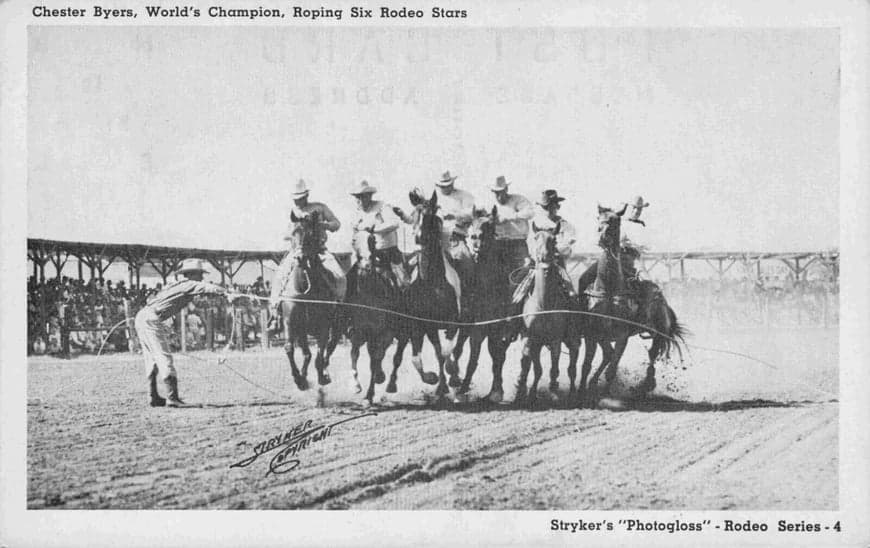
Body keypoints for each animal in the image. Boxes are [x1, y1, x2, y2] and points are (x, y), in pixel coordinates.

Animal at [284, 210, 342, 390]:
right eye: (293, 233)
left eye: (310, 233)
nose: (300, 258)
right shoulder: (292, 324)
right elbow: (292, 349)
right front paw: (299, 378)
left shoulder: (324, 326)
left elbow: (319, 355)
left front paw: (321, 377)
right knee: (310, 353)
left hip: (336, 327)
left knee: (329, 348)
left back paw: (324, 373)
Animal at [454, 206, 520, 402]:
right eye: (472, 222)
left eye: (490, 224)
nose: (475, 237)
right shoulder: (473, 327)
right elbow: (466, 355)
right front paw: (458, 385)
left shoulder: (490, 329)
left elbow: (485, 358)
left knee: (498, 355)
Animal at [516, 223, 584, 406]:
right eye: (535, 237)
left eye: (553, 240)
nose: (543, 257)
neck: (544, 305)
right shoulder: (532, 339)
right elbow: (536, 368)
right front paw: (529, 394)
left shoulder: (555, 341)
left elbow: (554, 367)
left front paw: (553, 392)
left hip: (572, 339)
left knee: (572, 366)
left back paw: (573, 394)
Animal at [580, 203, 688, 404]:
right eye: (598, 219)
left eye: (615, 220)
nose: (602, 237)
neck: (609, 290)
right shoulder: (593, 334)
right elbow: (586, 365)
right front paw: (582, 392)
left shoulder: (622, 336)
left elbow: (612, 369)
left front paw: (606, 395)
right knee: (608, 354)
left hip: (659, 330)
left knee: (652, 353)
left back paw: (645, 385)